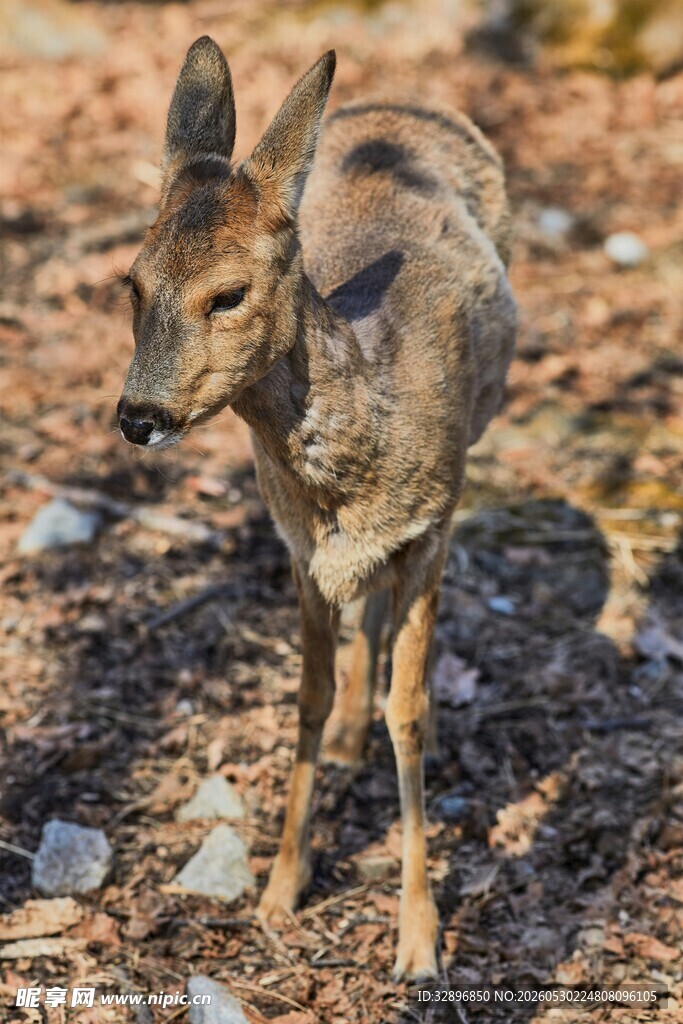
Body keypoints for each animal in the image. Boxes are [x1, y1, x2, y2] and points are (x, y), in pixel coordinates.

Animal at [116, 36, 516, 981]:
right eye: (132, 285)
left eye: (227, 294)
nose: (137, 416)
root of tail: (402, 103)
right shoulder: (298, 546)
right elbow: (305, 694)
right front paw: (278, 890)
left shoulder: (432, 526)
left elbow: (409, 711)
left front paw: (418, 939)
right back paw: (344, 739)